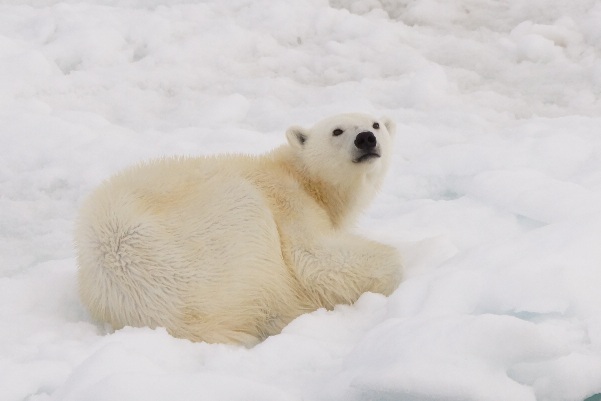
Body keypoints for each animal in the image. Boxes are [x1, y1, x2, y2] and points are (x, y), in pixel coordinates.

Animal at [76, 111, 404, 344]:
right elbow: (315, 260)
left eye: (376, 124)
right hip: (229, 227)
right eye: (336, 130)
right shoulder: (287, 202)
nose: (365, 139)